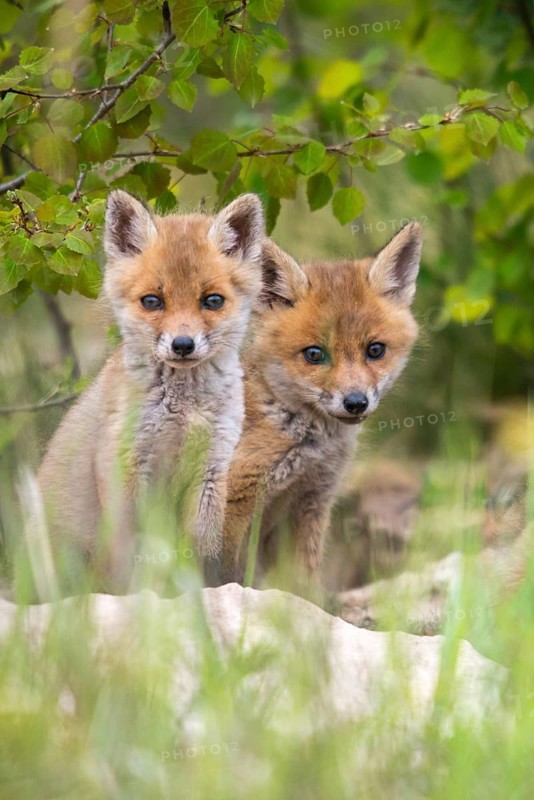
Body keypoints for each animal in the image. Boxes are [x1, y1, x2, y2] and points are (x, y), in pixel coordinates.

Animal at [35, 189, 264, 595]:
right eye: (152, 301)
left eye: (212, 300)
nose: (183, 345)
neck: (183, 410)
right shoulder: (126, 465)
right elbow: (138, 553)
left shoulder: (211, 469)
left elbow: (200, 554)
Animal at [221, 222, 423, 587]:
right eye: (314, 354)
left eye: (375, 350)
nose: (355, 402)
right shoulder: (231, 500)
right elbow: (222, 575)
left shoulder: (310, 502)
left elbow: (304, 584)